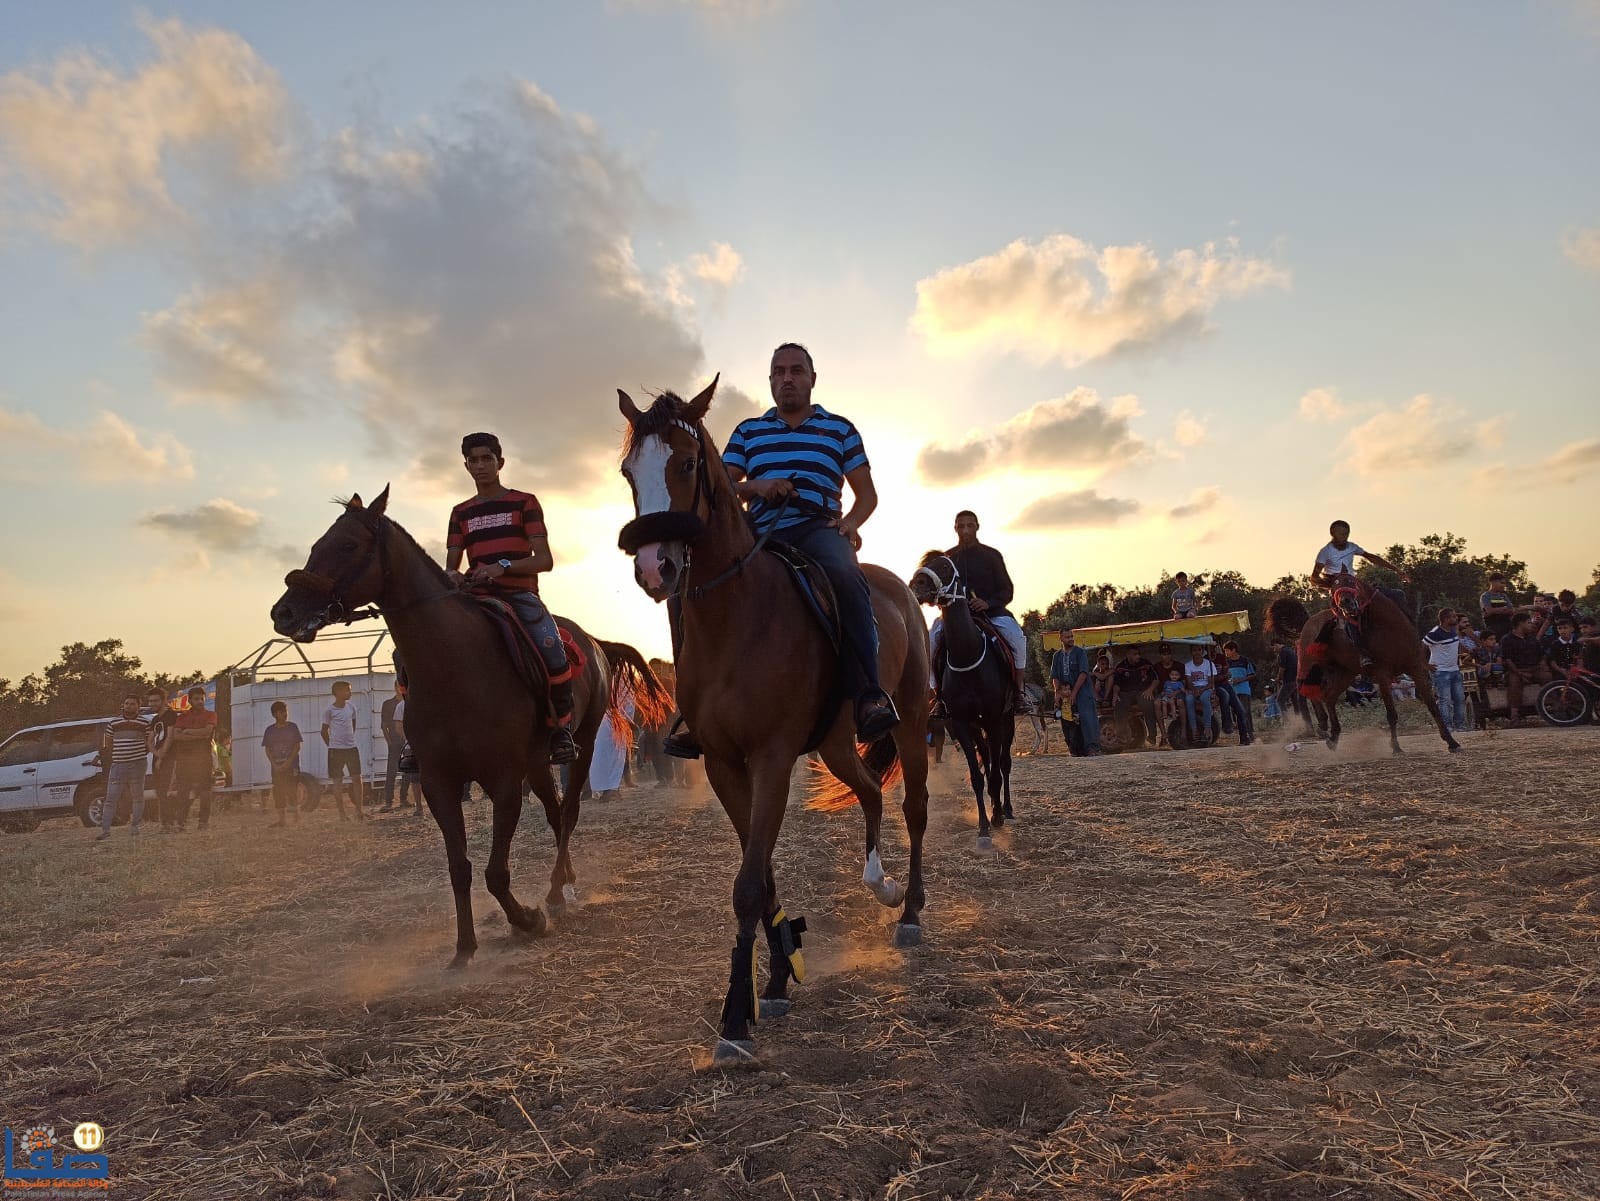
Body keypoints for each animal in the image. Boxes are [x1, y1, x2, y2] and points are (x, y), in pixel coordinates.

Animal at [270, 488, 670, 968]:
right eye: (316, 545)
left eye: (347, 545)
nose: (284, 612)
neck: (455, 665)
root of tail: (592, 641)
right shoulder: (439, 783)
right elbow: (459, 868)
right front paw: (464, 948)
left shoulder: (504, 781)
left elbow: (496, 873)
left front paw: (528, 920)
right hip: (537, 764)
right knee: (555, 813)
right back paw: (563, 882)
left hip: (582, 746)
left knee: (570, 810)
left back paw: (557, 891)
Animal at [616, 379, 931, 1066]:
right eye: (628, 470)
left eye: (687, 463)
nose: (654, 567)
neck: (736, 617)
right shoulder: (723, 764)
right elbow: (758, 874)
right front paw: (780, 975)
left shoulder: (772, 759)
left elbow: (748, 884)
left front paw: (737, 1017)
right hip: (836, 744)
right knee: (870, 792)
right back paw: (881, 884)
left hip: (912, 720)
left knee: (914, 806)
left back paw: (910, 912)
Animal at [909, 551, 1017, 848]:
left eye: (946, 567)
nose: (916, 585)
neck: (968, 655)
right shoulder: (960, 723)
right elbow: (978, 776)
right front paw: (983, 826)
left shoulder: (993, 719)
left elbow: (996, 771)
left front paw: (997, 816)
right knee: (988, 760)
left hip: (1007, 720)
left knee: (1004, 763)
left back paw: (1007, 809)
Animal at [1264, 586, 1460, 754]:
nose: (1347, 605)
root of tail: (1308, 622)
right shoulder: (1383, 675)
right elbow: (1392, 713)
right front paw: (1395, 746)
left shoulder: (1416, 669)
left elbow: (1433, 706)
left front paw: (1452, 742)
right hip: (1309, 664)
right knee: (1305, 690)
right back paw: (1321, 724)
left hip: (1345, 673)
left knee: (1328, 697)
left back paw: (1333, 735)